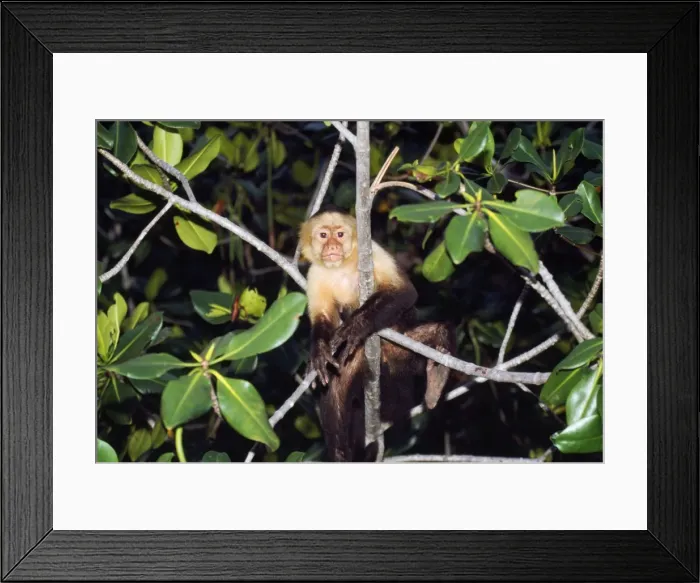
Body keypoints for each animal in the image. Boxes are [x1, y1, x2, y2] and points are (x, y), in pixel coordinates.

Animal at [300, 207, 455, 462]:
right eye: (323, 235)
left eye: (340, 234)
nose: (332, 247)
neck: (340, 268)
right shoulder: (315, 274)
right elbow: (323, 319)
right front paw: (318, 353)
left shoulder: (373, 252)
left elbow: (404, 293)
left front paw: (354, 327)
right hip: (355, 362)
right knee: (334, 389)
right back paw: (340, 455)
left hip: (400, 353)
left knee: (433, 332)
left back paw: (437, 375)